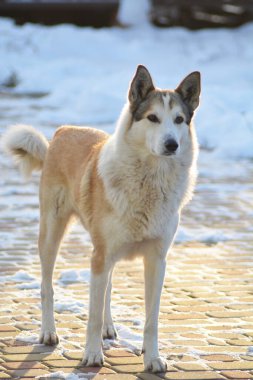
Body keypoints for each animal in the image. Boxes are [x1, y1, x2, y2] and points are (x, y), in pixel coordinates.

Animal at [1, 64, 200, 372]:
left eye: (179, 120)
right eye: (153, 118)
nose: (171, 144)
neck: (150, 179)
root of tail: (62, 132)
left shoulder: (157, 260)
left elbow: (151, 319)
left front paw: (153, 358)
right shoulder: (99, 257)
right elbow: (91, 317)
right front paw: (93, 355)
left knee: (107, 286)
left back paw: (109, 327)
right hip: (52, 234)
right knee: (48, 286)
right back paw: (48, 333)